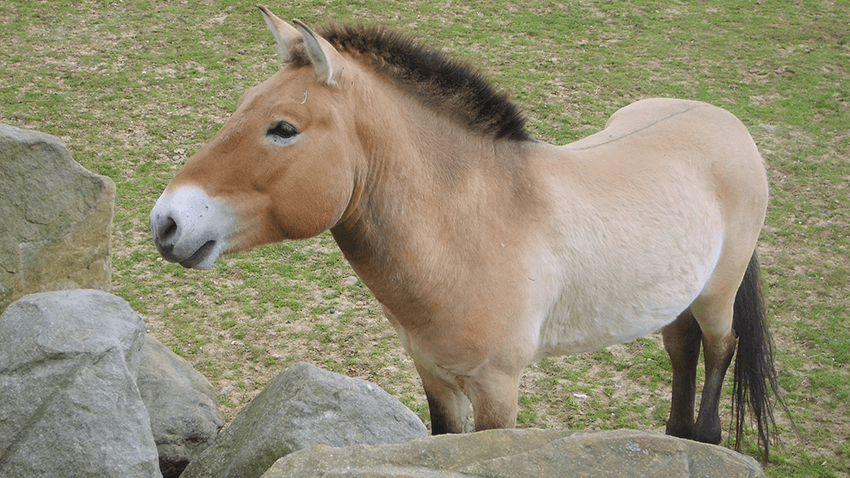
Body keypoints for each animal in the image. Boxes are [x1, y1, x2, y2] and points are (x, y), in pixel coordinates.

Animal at [150, 6, 783, 458]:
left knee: (720, 348)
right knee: (681, 347)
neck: (474, 227)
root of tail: (727, 122)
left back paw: (702, 437)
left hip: (718, 293)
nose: (167, 222)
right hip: (675, 296)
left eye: (283, 128)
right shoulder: (435, 375)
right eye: (244, 106)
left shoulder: (498, 387)